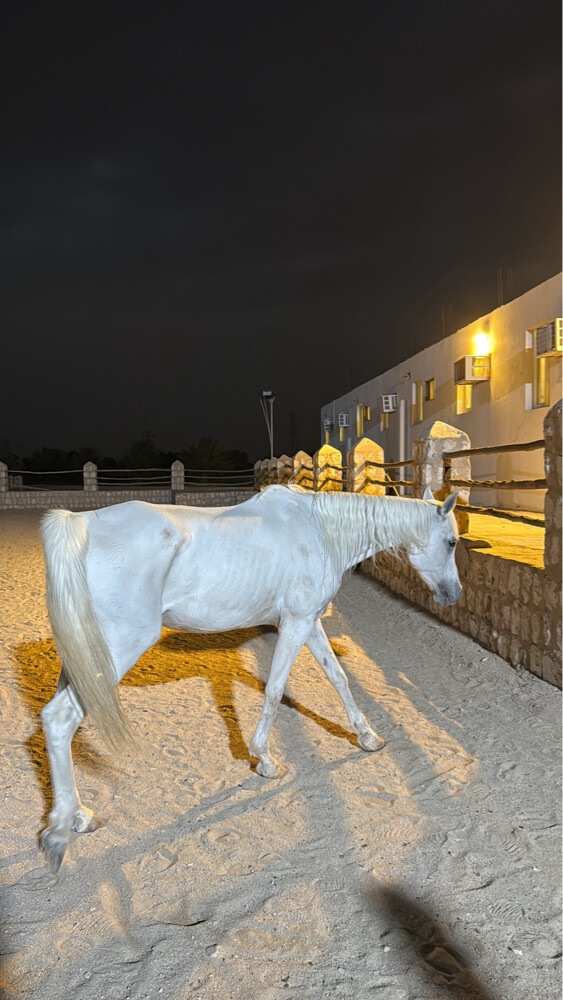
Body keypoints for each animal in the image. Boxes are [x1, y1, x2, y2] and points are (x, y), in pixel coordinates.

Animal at [39, 484, 461, 871]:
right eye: (453, 541)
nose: (454, 595)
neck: (319, 531)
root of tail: (80, 524)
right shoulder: (294, 623)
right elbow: (275, 689)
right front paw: (265, 760)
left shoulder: (310, 623)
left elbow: (339, 678)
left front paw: (368, 736)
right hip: (117, 648)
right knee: (59, 719)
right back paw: (63, 829)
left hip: (85, 653)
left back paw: (78, 817)